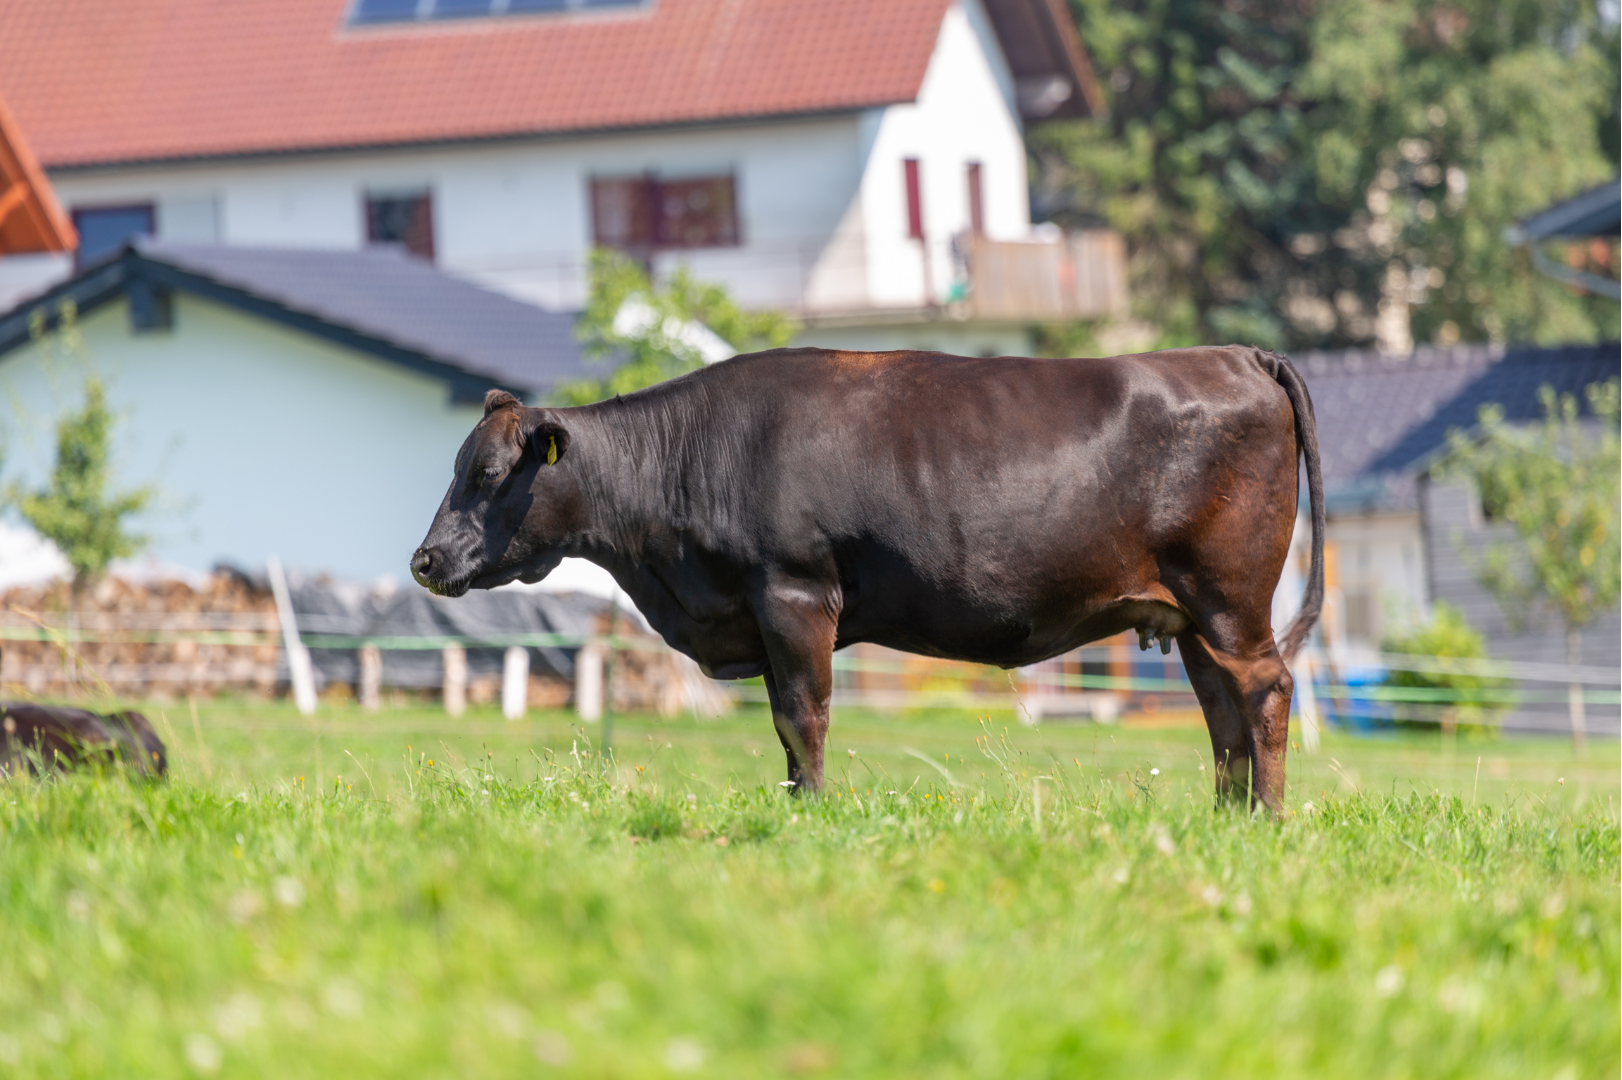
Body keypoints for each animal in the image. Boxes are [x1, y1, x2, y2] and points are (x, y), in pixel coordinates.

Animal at [411, 346, 1324, 811]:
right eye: (456, 467)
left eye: (487, 474)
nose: (425, 560)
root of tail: (1233, 354)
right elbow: (785, 722)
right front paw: (792, 801)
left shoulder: (794, 593)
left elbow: (803, 714)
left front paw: (810, 810)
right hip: (1193, 615)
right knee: (1220, 709)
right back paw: (1226, 818)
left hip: (1230, 598)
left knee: (1264, 691)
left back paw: (1268, 818)